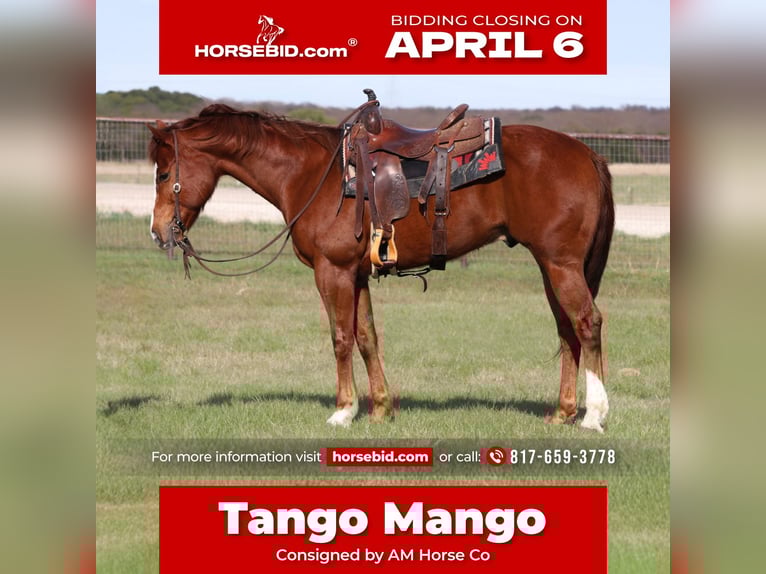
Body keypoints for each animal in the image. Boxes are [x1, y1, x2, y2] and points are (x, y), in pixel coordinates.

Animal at [148, 101, 615, 432]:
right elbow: (367, 337)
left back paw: (594, 415)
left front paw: (343, 410)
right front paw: (381, 409)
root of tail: (587, 154)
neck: (311, 174)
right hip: (551, 268)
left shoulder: (332, 271)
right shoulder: (356, 275)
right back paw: (563, 412)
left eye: (164, 173)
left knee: (587, 323)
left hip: (561, 265)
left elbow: (340, 338)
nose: (158, 232)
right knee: (566, 330)